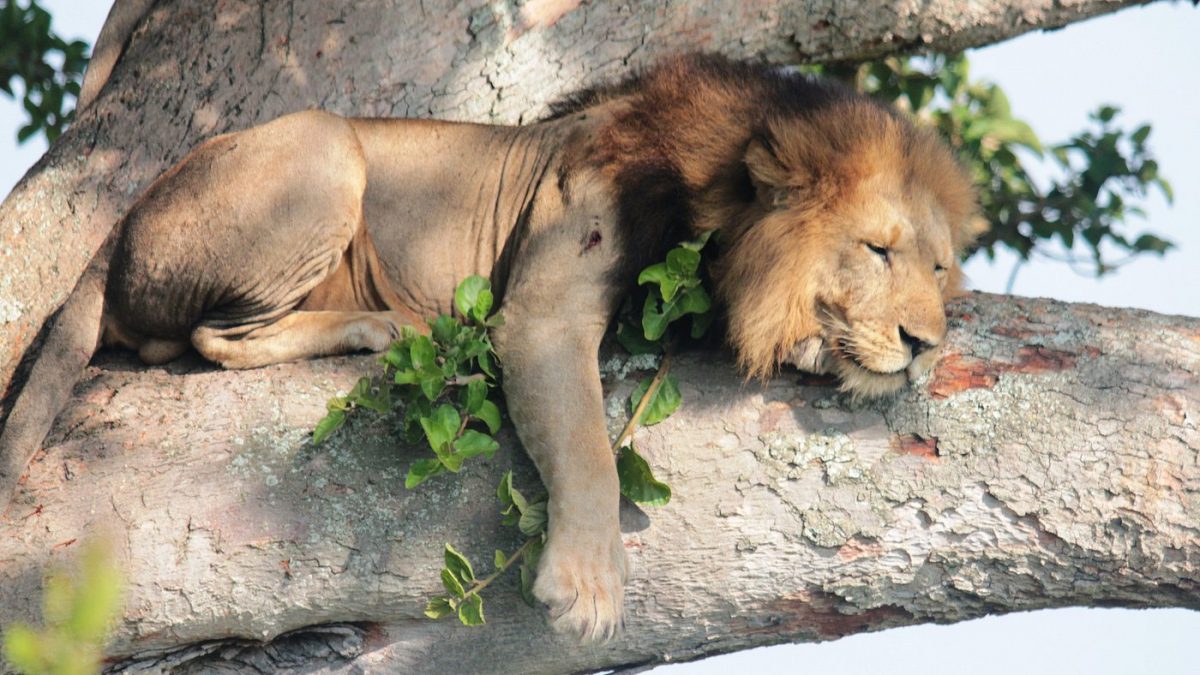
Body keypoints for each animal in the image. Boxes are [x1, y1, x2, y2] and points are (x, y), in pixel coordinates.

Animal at [0, 55, 979, 638]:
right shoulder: (543, 306)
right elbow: (586, 448)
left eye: (937, 266)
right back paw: (385, 324)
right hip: (325, 143)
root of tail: (119, 223)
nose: (926, 343)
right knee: (208, 336)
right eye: (877, 249)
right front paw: (587, 584)